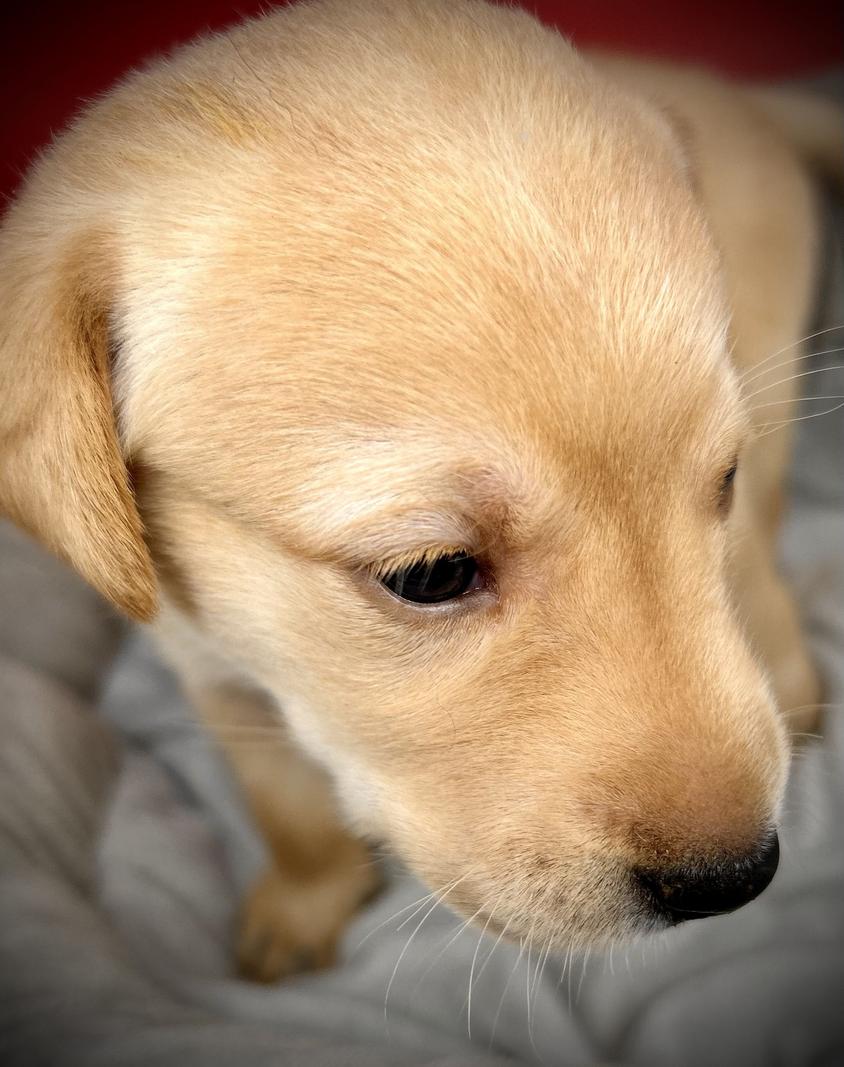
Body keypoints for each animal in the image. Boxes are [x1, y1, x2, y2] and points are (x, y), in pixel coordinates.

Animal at [0, 0, 836, 981]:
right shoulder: (199, 657)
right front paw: (305, 900)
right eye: (430, 573)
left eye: (719, 481)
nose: (736, 878)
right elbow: (281, 799)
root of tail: (745, 101)